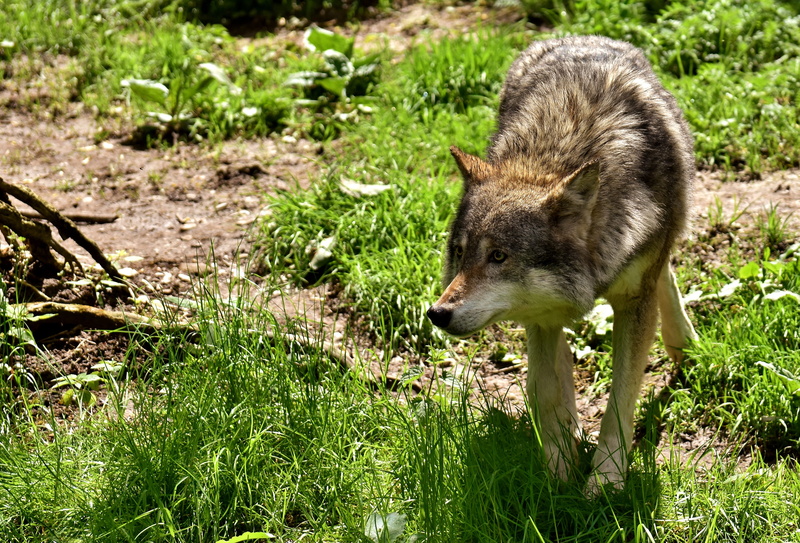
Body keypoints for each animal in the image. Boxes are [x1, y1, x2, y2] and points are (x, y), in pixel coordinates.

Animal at [426, 35, 697, 493]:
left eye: (498, 256)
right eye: (461, 253)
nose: (437, 313)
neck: (555, 154)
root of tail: (575, 36)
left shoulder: (633, 301)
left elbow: (622, 395)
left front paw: (605, 478)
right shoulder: (541, 314)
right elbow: (542, 388)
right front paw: (557, 466)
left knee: (664, 274)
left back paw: (684, 341)